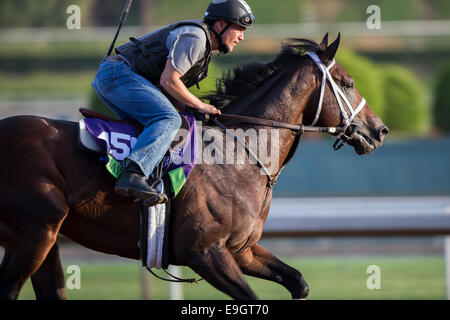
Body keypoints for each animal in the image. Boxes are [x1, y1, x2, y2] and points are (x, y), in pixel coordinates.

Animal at [0, 35, 386, 300]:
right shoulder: (203, 251)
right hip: (35, 234)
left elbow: (299, 282)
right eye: (349, 82)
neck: (239, 154)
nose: (379, 129)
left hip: (44, 240)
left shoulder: (242, 250)